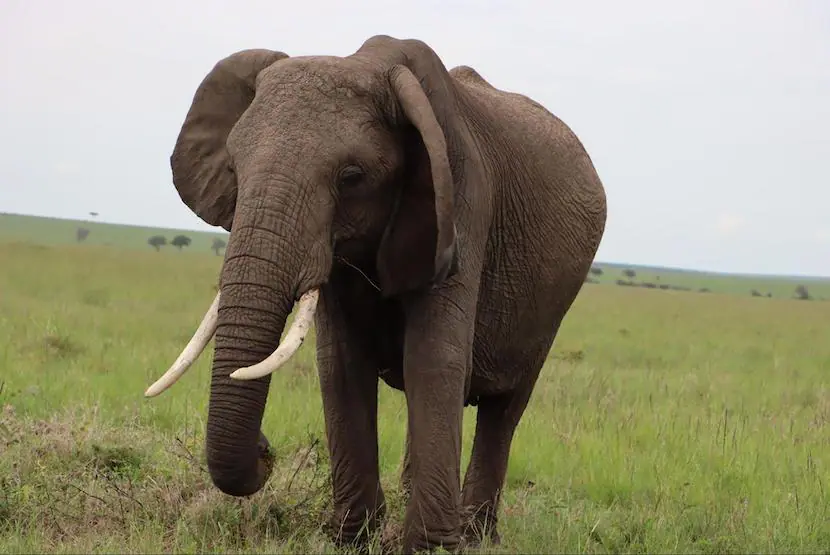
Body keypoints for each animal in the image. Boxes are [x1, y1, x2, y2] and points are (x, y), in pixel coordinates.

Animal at [146, 35, 608, 555]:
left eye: (351, 177)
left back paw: (477, 535)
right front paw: (353, 541)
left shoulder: (461, 204)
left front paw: (430, 549)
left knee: (504, 410)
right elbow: (340, 364)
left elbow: (433, 361)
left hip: (552, 306)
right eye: (233, 168)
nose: (266, 450)